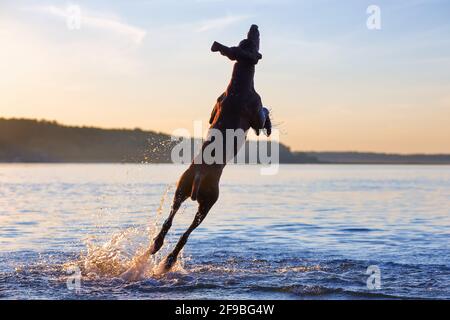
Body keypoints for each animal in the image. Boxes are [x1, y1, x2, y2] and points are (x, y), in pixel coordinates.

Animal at [150, 24, 270, 272]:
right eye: (253, 42)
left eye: (246, 38)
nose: (254, 26)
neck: (238, 84)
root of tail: (198, 176)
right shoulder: (256, 113)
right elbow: (265, 114)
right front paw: (270, 125)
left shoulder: (213, 108)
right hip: (209, 201)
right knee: (186, 234)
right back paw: (169, 259)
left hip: (180, 188)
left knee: (169, 220)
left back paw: (156, 245)